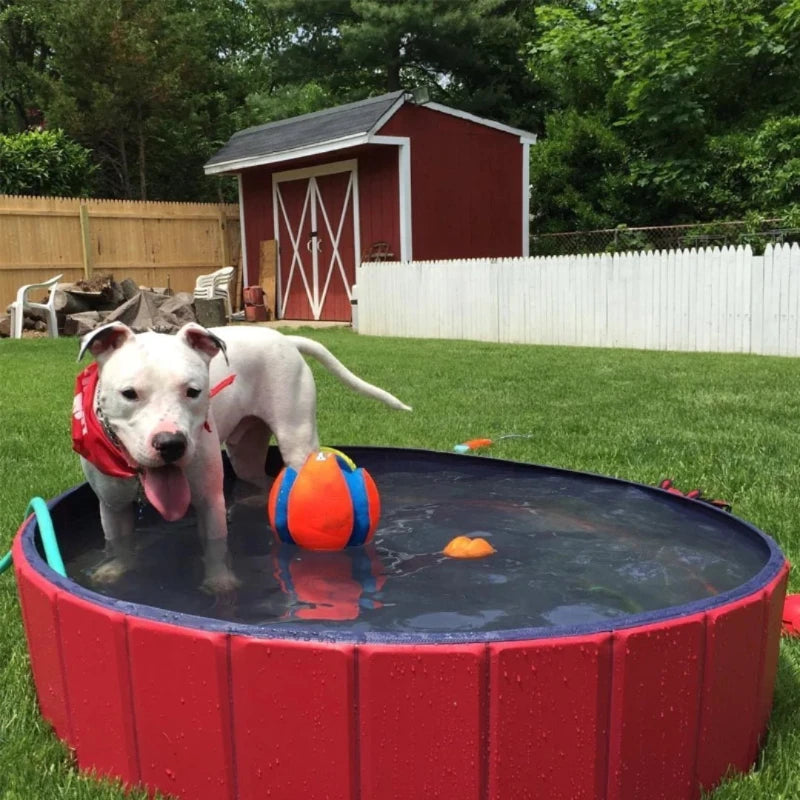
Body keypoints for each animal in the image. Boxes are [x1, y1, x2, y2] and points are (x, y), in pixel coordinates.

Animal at [73, 322, 412, 592]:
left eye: (193, 391)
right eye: (129, 393)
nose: (171, 444)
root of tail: (285, 338)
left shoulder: (209, 499)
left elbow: (215, 547)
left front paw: (219, 581)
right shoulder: (112, 506)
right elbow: (119, 543)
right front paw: (114, 570)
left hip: (297, 441)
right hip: (244, 454)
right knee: (262, 479)